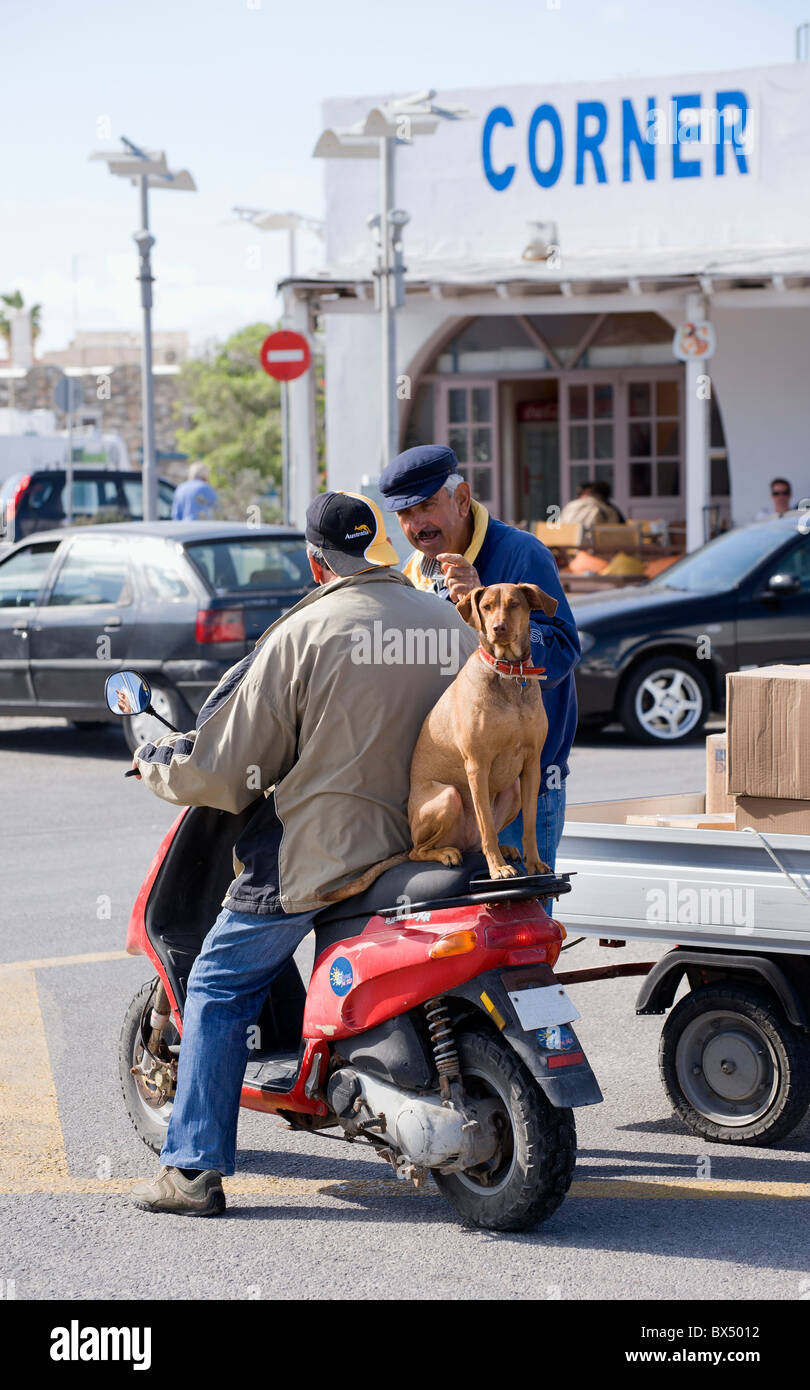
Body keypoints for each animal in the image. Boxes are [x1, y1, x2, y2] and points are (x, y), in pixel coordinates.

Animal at [408, 586, 561, 878]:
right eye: (487, 606)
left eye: (514, 604)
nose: (498, 628)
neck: (510, 674)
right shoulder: (477, 766)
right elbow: (487, 826)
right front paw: (497, 868)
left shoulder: (531, 764)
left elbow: (529, 825)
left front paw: (534, 863)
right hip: (447, 797)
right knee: (417, 851)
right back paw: (447, 853)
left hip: (513, 789)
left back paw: (505, 849)